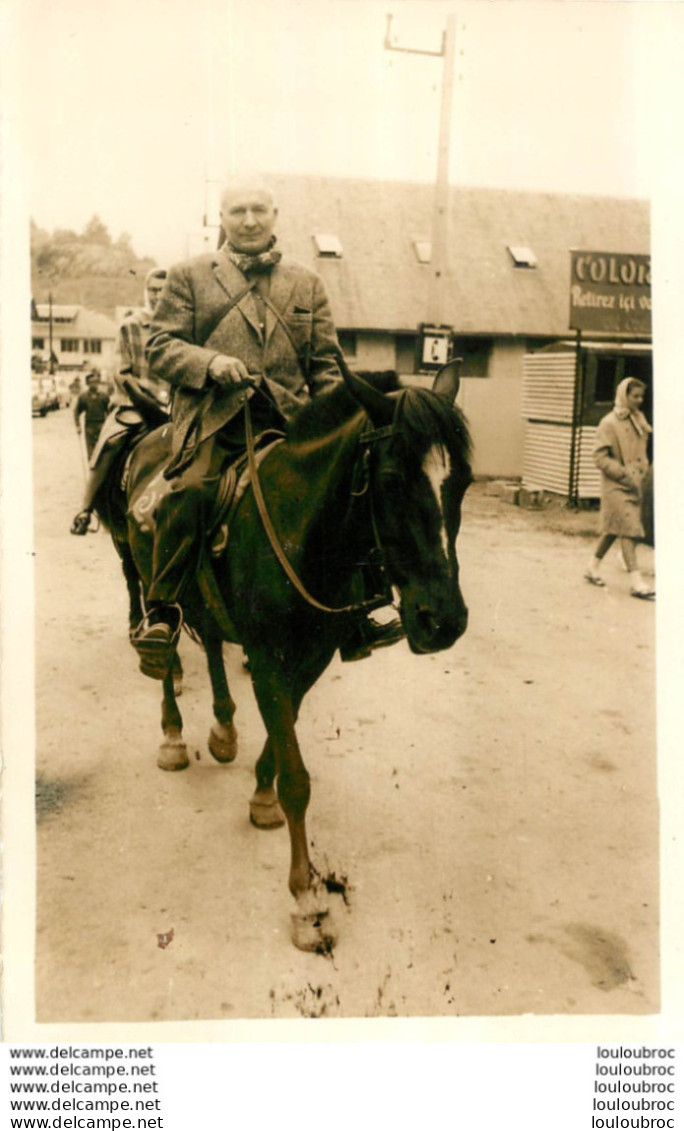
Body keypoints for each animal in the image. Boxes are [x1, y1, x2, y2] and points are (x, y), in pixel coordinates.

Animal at [96, 357, 472, 950]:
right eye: (391, 480)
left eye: (463, 483)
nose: (444, 622)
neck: (301, 529)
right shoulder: (270, 657)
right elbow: (298, 776)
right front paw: (306, 898)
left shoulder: (309, 657)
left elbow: (284, 729)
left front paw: (260, 792)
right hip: (140, 569)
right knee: (165, 652)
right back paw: (173, 730)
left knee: (211, 645)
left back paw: (223, 728)